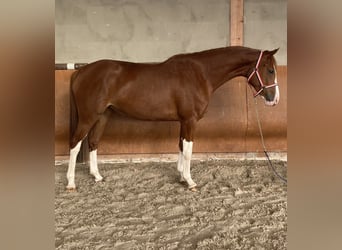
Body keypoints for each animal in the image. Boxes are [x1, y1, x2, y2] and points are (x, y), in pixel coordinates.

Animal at [65, 46, 280, 191]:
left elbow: (180, 146)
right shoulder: (190, 120)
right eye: (270, 70)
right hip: (88, 117)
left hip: (102, 116)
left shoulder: (183, 121)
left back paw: (97, 176)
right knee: (75, 143)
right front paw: (190, 181)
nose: (275, 99)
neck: (200, 73)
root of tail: (80, 71)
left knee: (93, 142)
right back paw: (71, 182)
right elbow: (188, 150)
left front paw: (182, 177)